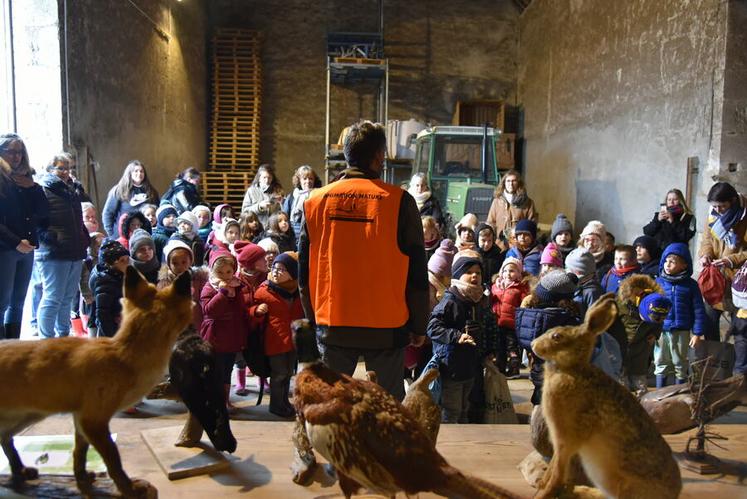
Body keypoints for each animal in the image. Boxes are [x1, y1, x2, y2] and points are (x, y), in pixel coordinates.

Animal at [0, 268, 193, 498]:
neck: (123, 357)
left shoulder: (81, 418)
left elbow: (79, 453)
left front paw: (83, 480)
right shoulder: (93, 420)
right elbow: (113, 460)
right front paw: (128, 488)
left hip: (25, 417)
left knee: (5, 440)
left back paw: (19, 471)